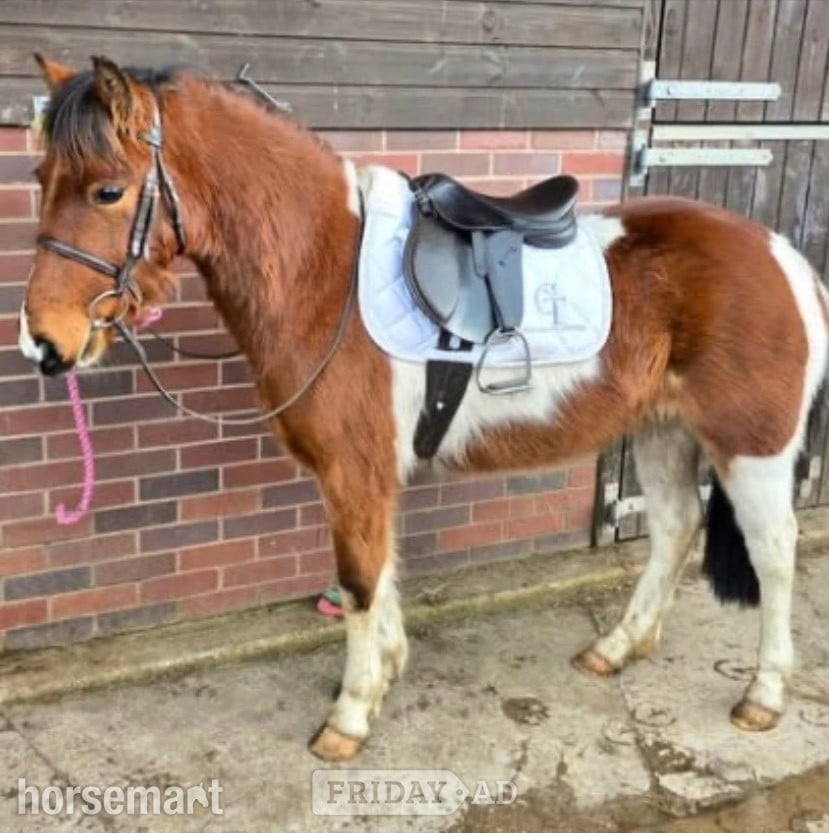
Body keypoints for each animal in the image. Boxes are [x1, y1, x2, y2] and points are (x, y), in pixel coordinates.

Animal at [18, 55, 829, 762]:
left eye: (107, 191)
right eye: (40, 176)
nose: (42, 342)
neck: (324, 271)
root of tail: (784, 257)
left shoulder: (354, 471)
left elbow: (358, 580)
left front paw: (350, 715)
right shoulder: (367, 476)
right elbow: (380, 576)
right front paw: (385, 671)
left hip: (749, 448)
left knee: (774, 550)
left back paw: (762, 695)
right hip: (663, 430)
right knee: (673, 529)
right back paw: (615, 648)